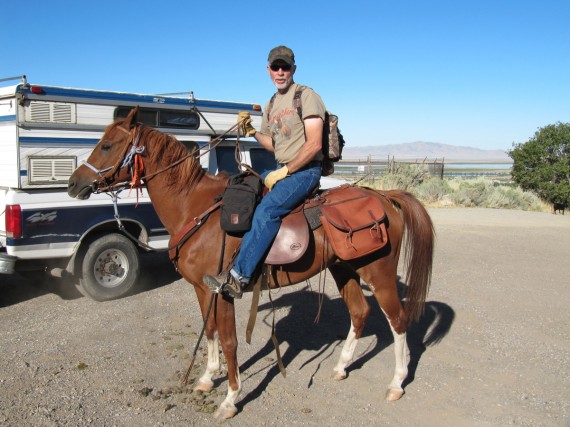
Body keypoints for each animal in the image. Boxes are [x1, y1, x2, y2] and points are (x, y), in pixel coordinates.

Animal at [67, 108, 430, 420]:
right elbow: (210, 330)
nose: (73, 184)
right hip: (345, 269)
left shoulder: (223, 291)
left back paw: (396, 383)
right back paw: (341, 367)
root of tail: (384, 197)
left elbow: (230, 341)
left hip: (379, 272)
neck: (195, 207)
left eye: (107, 145)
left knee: (397, 321)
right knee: (359, 312)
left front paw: (230, 398)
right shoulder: (202, 289)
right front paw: (207, 377)